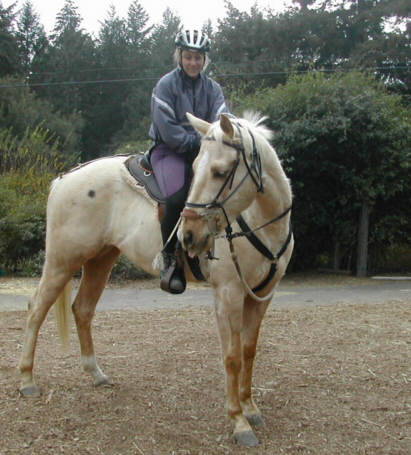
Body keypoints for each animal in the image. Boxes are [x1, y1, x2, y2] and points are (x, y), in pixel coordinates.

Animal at [19, 112, 293, 447]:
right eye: (196, 168)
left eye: (219, 172)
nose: (189, 236)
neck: (261, 222)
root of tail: (64, 179)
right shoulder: (228, 294)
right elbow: (232, 357)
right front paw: (239, 422)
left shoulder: (263, 295)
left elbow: (249, 352)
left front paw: (251, 409)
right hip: (62, 262)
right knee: (36, 309)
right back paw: (27, 380)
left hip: (101, 261)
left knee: (82, 309)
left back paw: (96, 374)